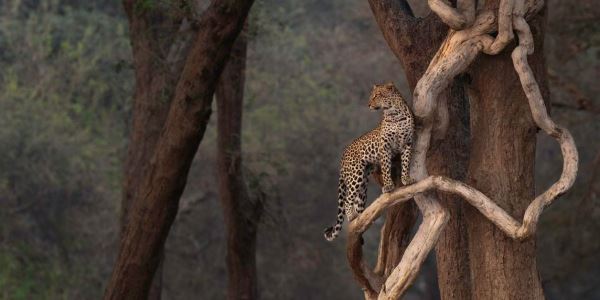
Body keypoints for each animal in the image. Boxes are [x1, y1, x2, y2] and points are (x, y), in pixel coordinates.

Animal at [324, 82, 412, 241]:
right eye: (372, 95)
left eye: (377, 95)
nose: (369, 104)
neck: (395, 114)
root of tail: (343, 156)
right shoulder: (385, 147)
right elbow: (386, 168)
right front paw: (388, 186)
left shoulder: (407, 143)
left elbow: (406, 162)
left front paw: (406, 179)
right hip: (355, 175)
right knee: (347, 199)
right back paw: (352, 215)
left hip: (363, 185)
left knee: (357, 203)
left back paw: (360, 220)